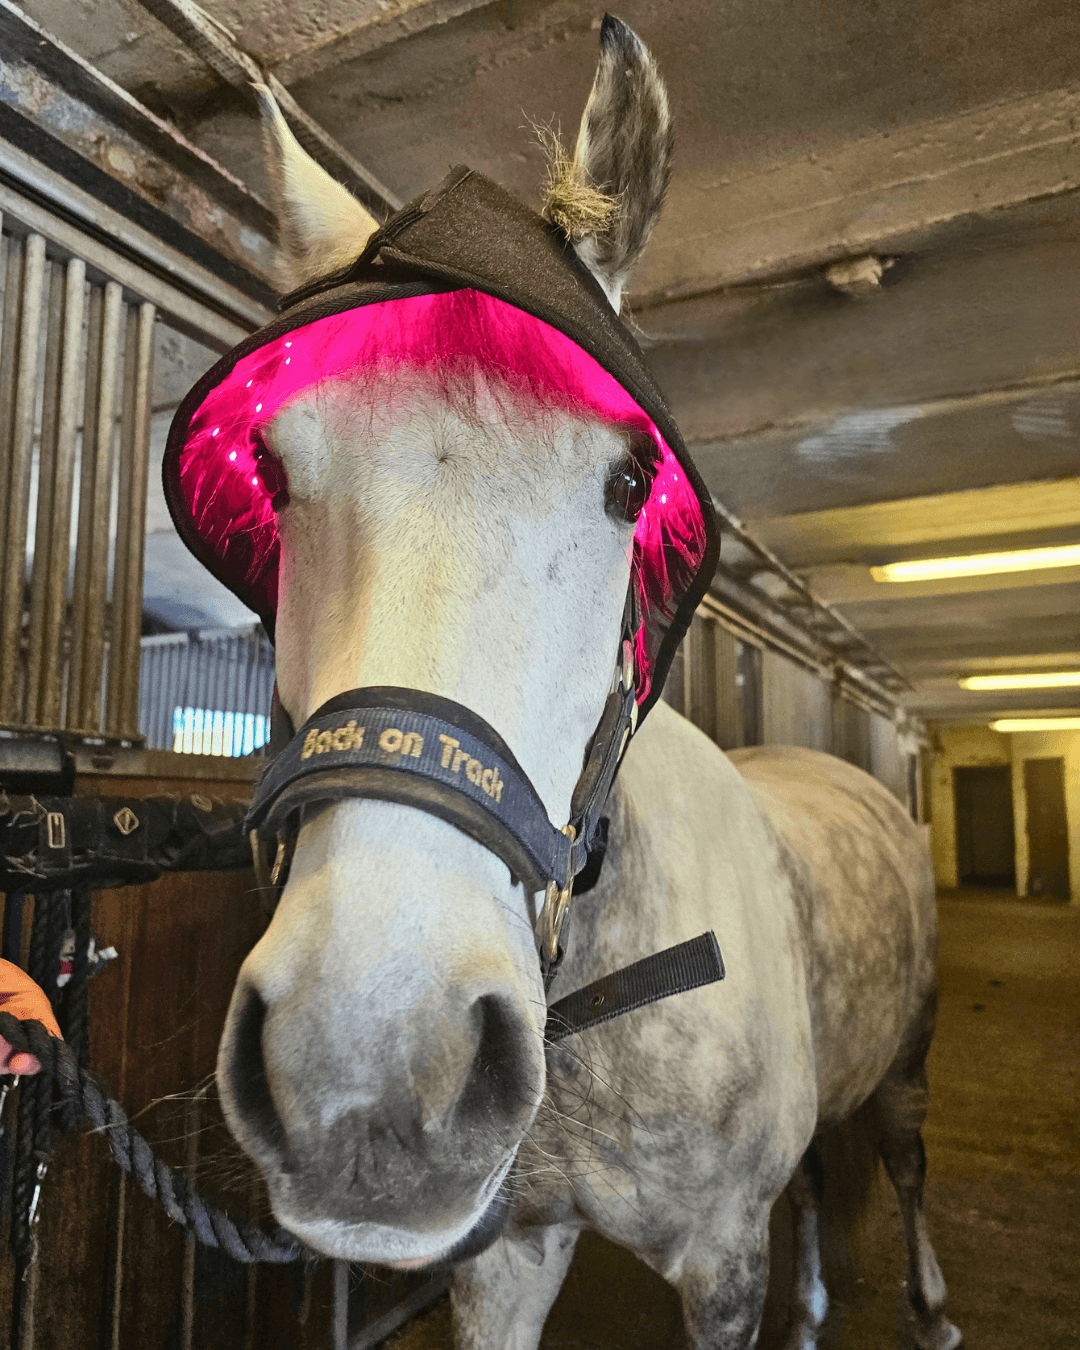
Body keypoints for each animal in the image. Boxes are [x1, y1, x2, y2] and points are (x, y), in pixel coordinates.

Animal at [172, 17, 962, 1348]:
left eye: (632, 480)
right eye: (273, 471)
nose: (365, 1079)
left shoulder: (720, 1263)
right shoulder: (507, 1249)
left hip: (906, 1056)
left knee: (903, 1164)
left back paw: (932, 1305)